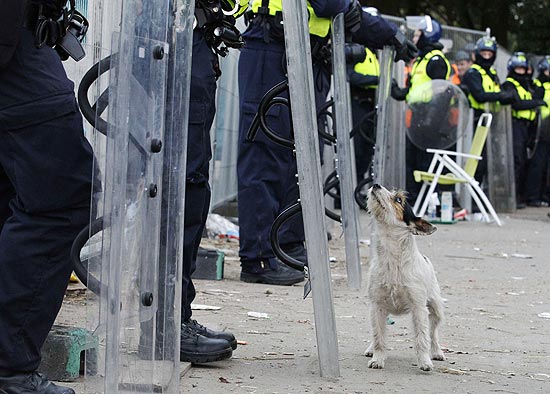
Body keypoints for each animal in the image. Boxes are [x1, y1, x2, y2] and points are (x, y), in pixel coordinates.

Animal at [366, 183, 448, 370]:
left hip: (436, 309)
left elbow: (422, 338)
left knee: (433, 333)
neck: (392, 258)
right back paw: (370, 348)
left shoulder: (419, 308)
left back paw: (437, 352)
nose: (375, 184)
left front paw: (425, 361)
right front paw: (377, 358)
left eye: (398, 199)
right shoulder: (377, 306)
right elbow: (378, 336)